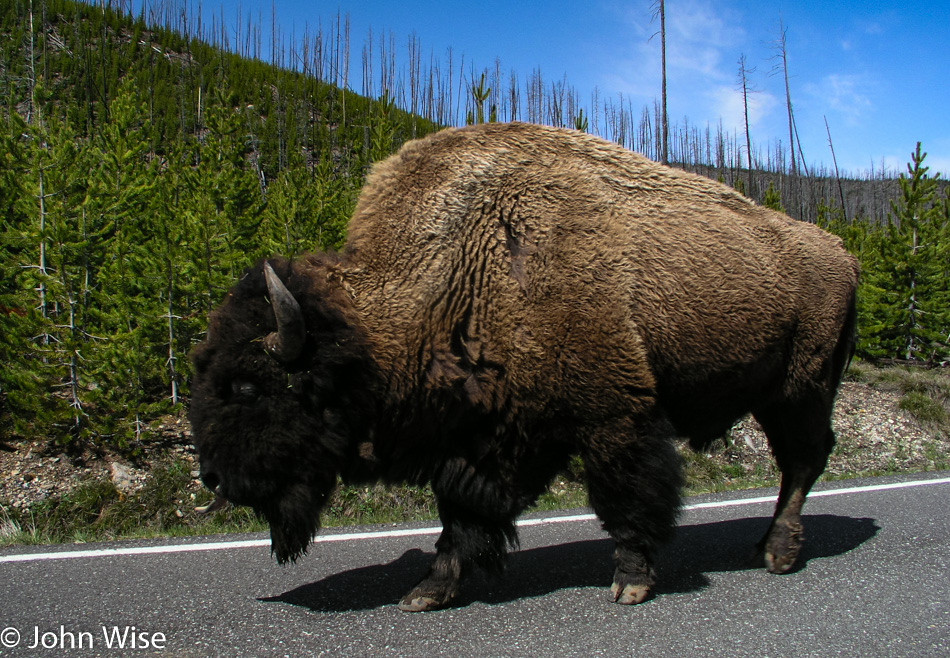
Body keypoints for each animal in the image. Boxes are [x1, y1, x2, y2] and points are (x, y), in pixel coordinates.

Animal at [192, 121, 864, 608]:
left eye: (248, 386)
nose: (213, 478)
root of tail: (842, 253)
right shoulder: (488, 432)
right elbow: (461, 513)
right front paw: (428, 591)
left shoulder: (615, 416)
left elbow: (627, 495)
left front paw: (630, 582)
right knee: (802, 462)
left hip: (801, 390)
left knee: (802, 462)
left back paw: (777, 552)